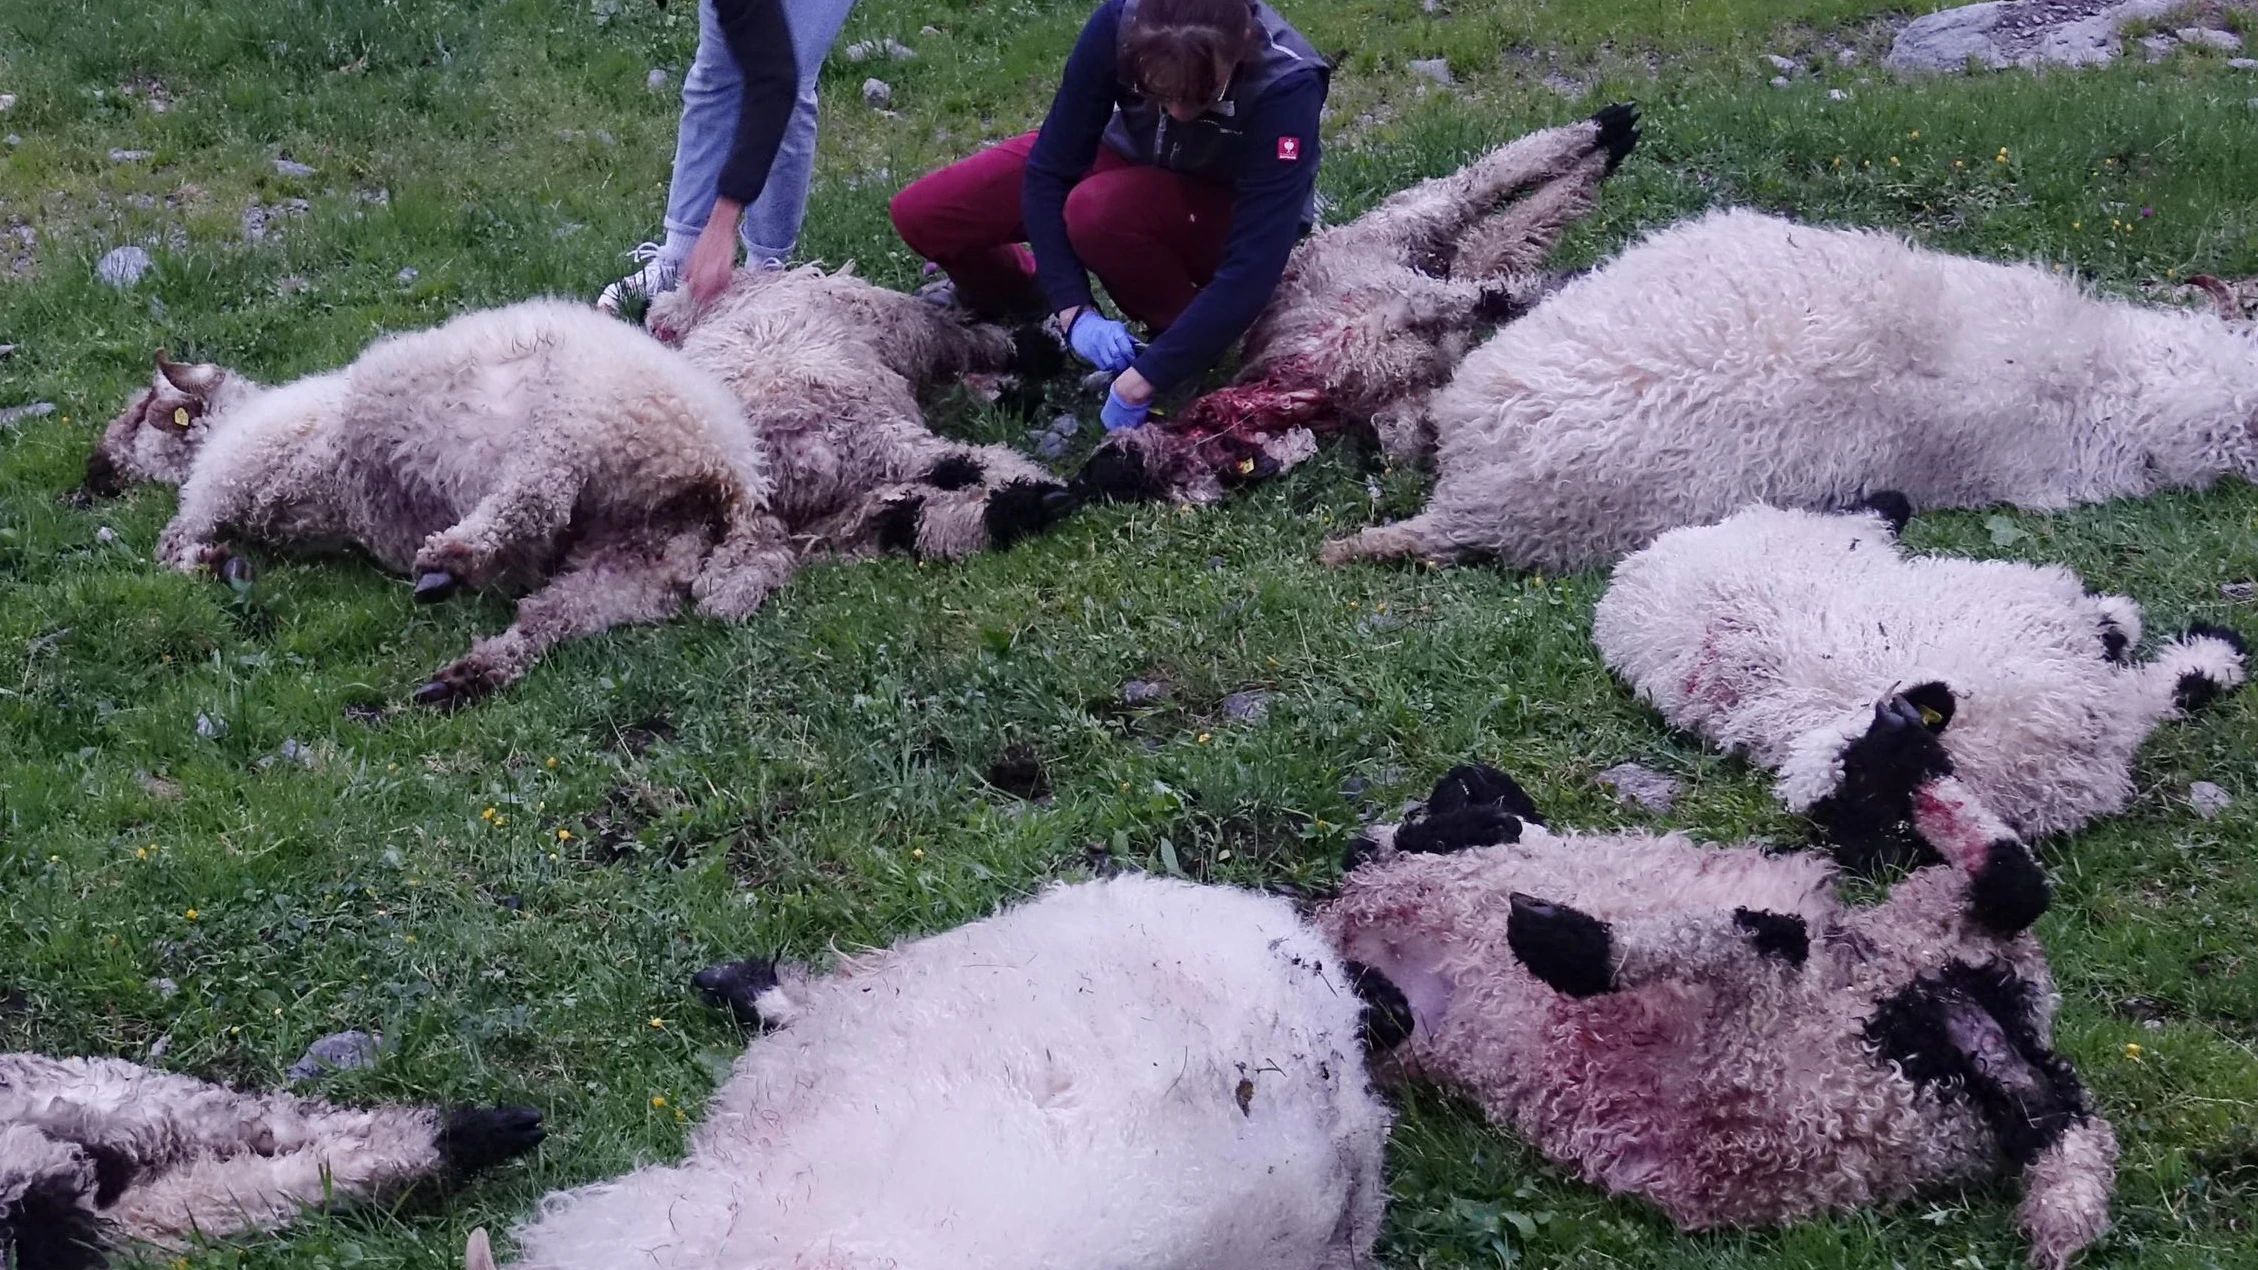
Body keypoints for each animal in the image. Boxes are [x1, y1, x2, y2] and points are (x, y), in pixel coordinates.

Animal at [83, 298, 796, 708]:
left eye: (143, 412)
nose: (90, 477)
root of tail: (731, 475)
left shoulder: (230, 479)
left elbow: (175, 537)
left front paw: (214, 563)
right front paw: (224, 564)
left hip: (576, 422)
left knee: (533, 499)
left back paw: (451, 558)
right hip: (640, 557)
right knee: (555, 615)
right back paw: (466, 671)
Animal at [647, 261, 1079, 561]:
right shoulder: (914, 333)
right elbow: (973, 343)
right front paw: (1034, 354)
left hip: (846, 487)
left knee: (909, 509)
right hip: (871, 435)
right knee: (954, 467)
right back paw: (1031, 501)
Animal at [1069, 105, 1638, 506]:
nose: (1097, 471)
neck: (1299, 390)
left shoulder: (1404, 307)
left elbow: (1487, 298)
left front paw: (1562, 287)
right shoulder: (1405, 383)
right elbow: (1408, 436)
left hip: (1398, 227)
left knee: (1474, 184)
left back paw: (1603, 128)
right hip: (1440, 250)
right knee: (1512, 228)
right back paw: (1607, 152)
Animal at [1318, 761, 2117, 1270]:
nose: (1466, 778)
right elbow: (1383, 1012)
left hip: (1771, 1035)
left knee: (1763, 946)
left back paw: (1576, 943)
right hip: (1852, 1028)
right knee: (2008, 886)